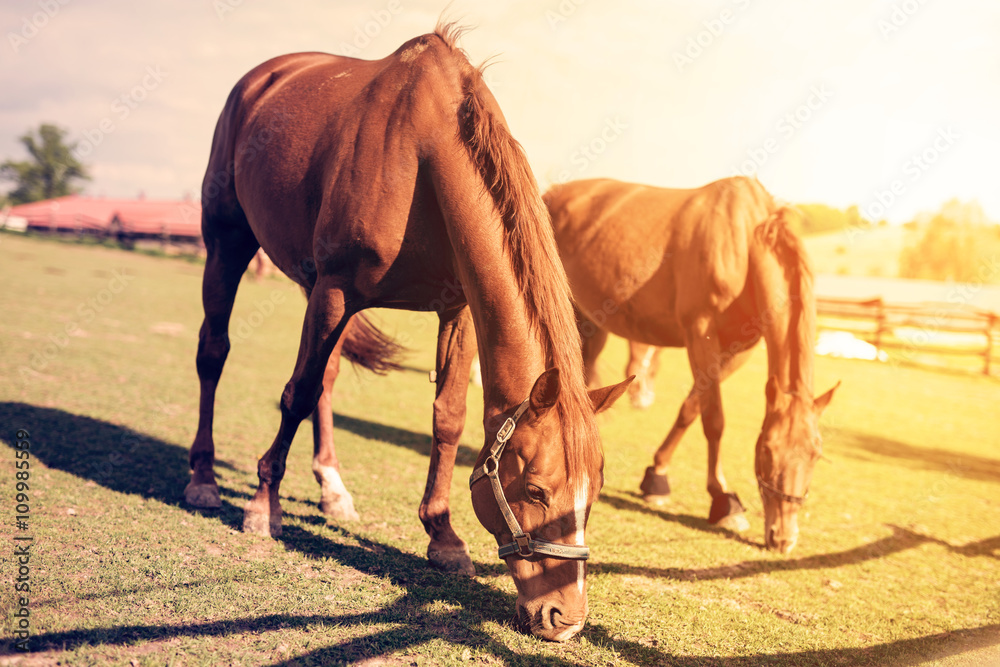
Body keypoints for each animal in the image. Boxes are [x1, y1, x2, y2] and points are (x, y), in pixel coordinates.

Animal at [185, 25, 630, 641]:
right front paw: (262, 504)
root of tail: (262, 77)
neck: (420, 152)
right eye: (537, 490)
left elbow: (447, 418)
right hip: (228, 241)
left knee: (325, 377)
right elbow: (295, 394)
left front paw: (442, 537)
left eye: (595, 495)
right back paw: (203, 476)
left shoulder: (455, 308)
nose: (565, 618)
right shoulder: (335, 289)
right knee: (215, 353)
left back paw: (332, 488)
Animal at [544, 176, 838, 554]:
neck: (744, 242)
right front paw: (724, 501)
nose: (783, 538)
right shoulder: (700, 335)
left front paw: (657, 477)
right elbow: (714, 421)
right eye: (767, 451)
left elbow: (691, 408)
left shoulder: (735, 351)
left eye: (816, 454)